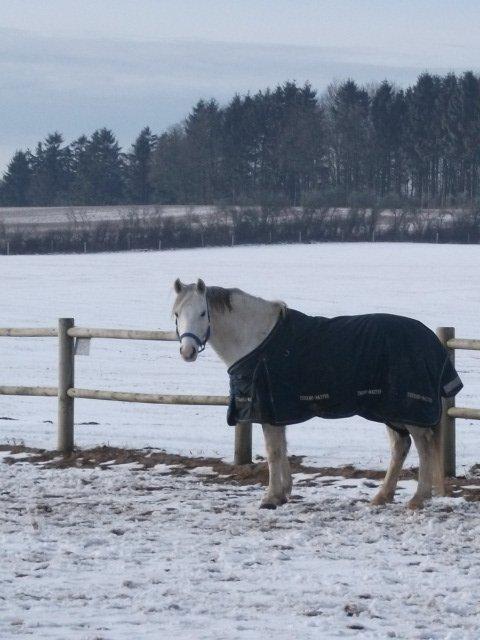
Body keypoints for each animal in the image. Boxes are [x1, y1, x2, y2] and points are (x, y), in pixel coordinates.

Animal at [172, 278, 463, 510]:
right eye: (176, 313)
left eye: (202, 313)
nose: (187, 352)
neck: (257, 340)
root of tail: (431, 340)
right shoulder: (277, 411)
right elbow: (280, 448)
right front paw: (283, 493)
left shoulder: (267, 409)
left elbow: (273, 451)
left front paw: (270, 497)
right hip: (391, 411)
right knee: (400, 447)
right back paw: (382, 496)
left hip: (409, 410)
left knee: (424, 447)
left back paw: (418, 499)